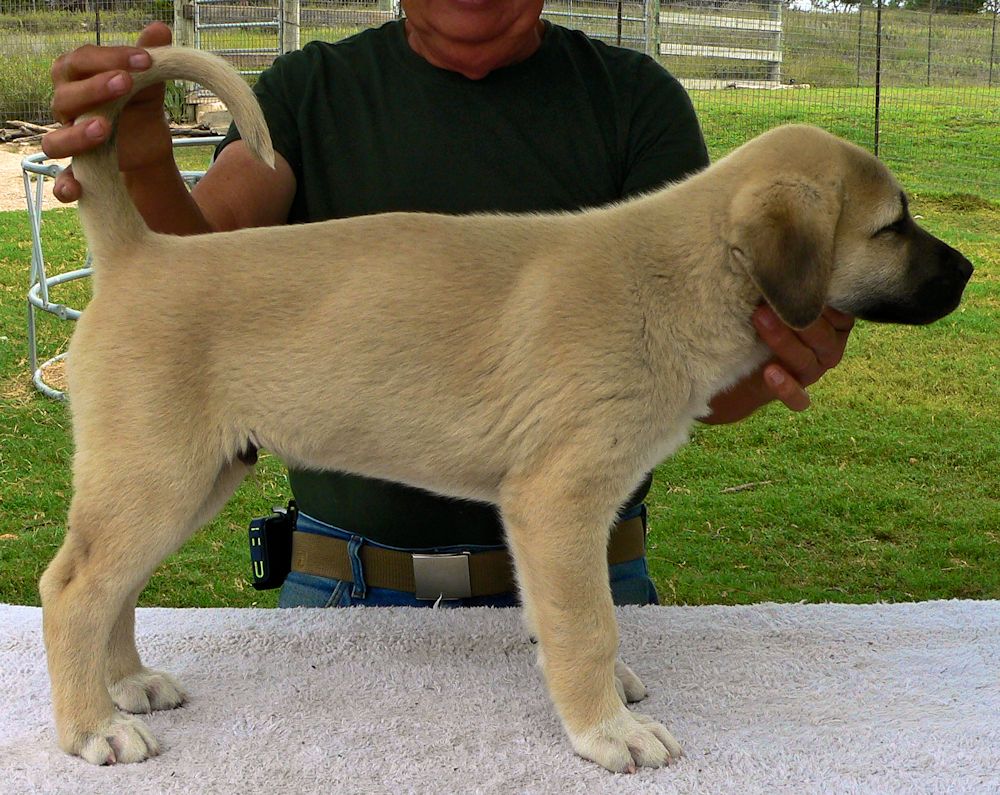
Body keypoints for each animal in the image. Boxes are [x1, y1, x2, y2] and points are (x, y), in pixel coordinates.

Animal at [43, 45, 972, 772]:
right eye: (892, 227)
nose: (968, 272)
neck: (680, 274)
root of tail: (141, 252)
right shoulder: (557, 499)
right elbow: (587, 622)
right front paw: (608, 730)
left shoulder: (560, 514)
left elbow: (567, 613)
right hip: (157, 473)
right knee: (73, 588)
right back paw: (94, 727)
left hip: (185, 479)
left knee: (111, 584)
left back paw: (126, 685)